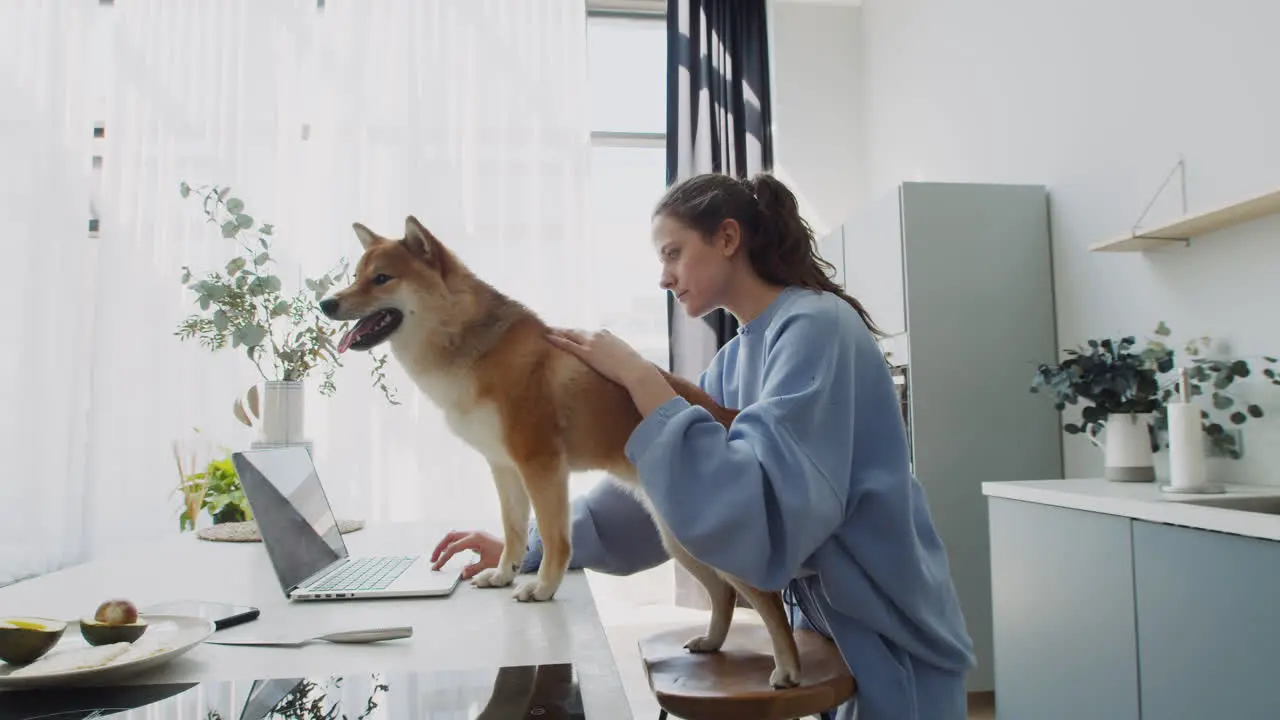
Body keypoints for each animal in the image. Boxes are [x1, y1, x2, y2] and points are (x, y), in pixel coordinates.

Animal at [320, 217, 798, 681]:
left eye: (382, 278)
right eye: (355, 276)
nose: (326, 304)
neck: (472, 346)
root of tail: (726, 415)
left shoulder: (541, 465)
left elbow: (554, 539)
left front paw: (543, 588)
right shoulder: (504, 468)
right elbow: (515, 531)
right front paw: (503, 574)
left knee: (767, 600)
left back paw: (788, 667)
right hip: (680, 540)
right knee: (722, 593)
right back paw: (712, 641)